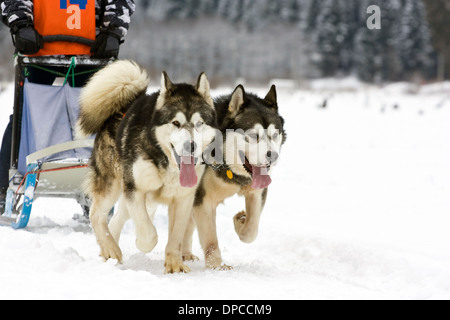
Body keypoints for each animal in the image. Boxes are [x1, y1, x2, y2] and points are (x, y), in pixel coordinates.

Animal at [76, 60, 217, 272]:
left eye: (199, 123)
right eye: (176, 123)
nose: (190, 146)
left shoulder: (184, 198)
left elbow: (176, 236)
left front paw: (175, 264)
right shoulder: (135, 189)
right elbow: (149, 234)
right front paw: (142, 243)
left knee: (115, 220)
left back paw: (109, 251)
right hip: (114, 185)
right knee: (96, 215)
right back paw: (111, 248)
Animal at [185, 84, 286, 268]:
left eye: (275, 135)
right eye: (253, 135)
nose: (273, 156)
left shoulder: (257, 191)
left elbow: (251, 230)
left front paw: (240, 222)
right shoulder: (203, 199)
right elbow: (211, 239)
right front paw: (217, 267)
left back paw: (185, 254)